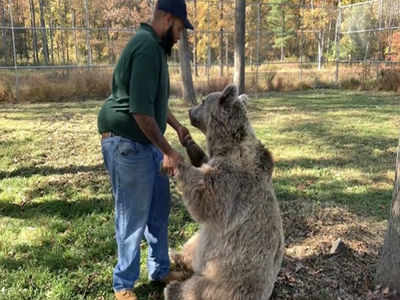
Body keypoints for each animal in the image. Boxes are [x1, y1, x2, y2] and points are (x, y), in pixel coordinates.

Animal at [165, 84, 284, 300]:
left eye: (203, 101)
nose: (190, 111)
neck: (228, 145)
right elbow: (202, 160)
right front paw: (189, 143)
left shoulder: (231, 183)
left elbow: (204, 197)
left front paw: (176, 161)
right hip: (205, 246)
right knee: (192, 246)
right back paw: (175, 254)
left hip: (223, 276)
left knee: (195, 289)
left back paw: (173, 288)